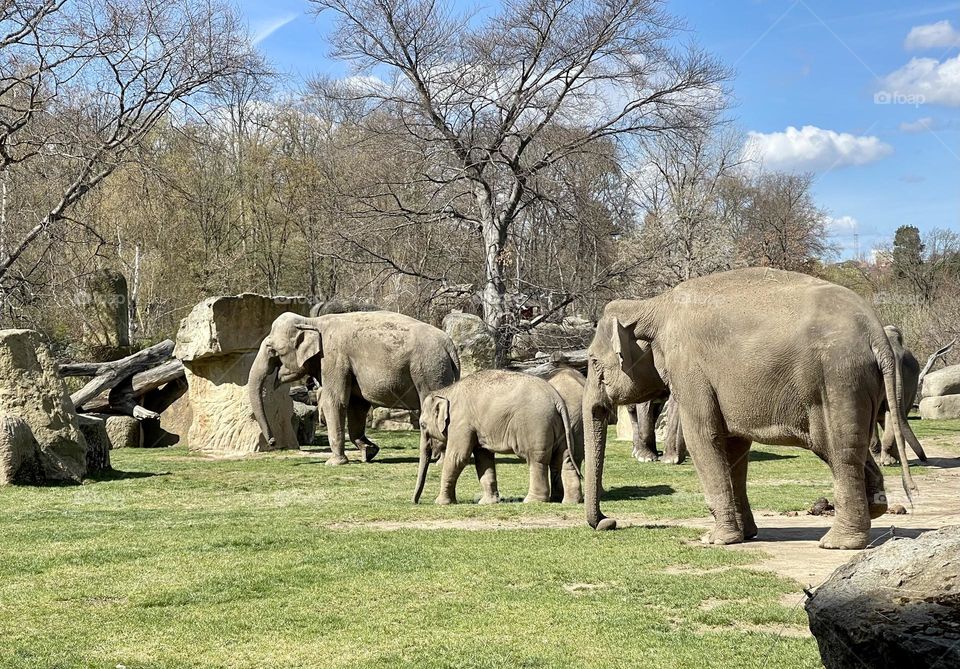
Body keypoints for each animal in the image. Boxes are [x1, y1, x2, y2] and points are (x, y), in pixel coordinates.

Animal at [410, 368, 576, 504]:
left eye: (422, 425)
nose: (415, 502)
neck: (447, 391)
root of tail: (556, 398)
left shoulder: (461, 423)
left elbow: (457, 457)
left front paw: (440, 503)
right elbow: (483, 459)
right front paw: (487, 502)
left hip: (536, 425)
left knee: (536, 460)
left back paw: (533, 501)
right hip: (559, 427)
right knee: (565, 458)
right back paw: (570, 501)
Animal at [580, 266, 928, 548]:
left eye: (594, 362)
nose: (608, 522)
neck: (651, 305)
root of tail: (877, 333)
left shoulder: (689, 368)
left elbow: (704, 437)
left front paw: (716, 540)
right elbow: (734, 445)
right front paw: (745, 535)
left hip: (839, 379)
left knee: (840, 450)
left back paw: (838, 543)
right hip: (858, 385)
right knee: (844, 446)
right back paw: (875, 508)